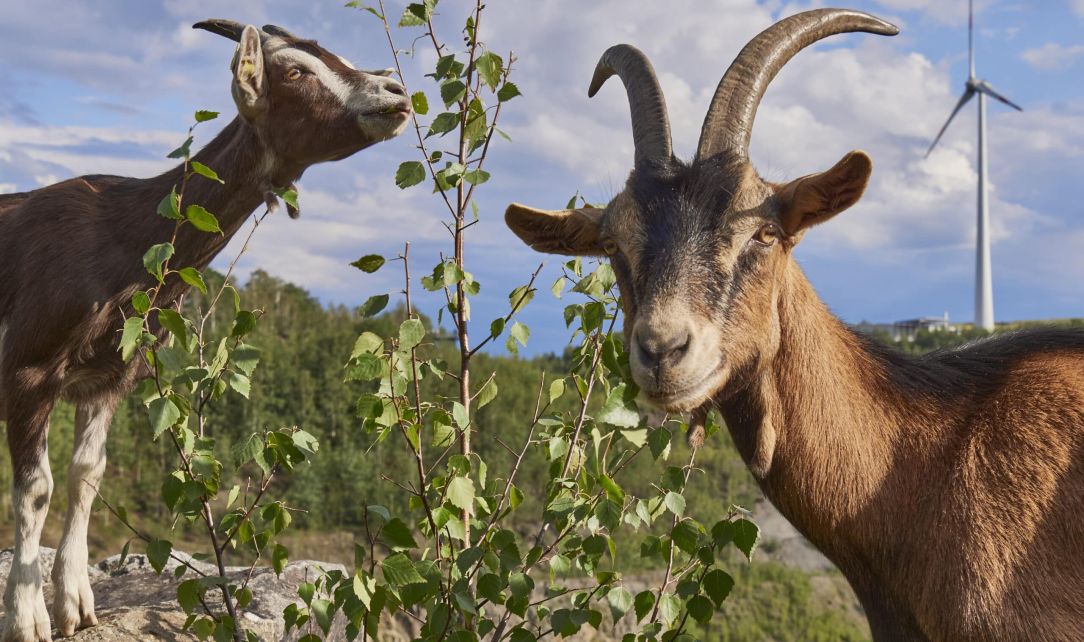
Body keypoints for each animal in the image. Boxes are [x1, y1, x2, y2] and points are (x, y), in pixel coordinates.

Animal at [0, 20, 409, 642]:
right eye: (295, 71)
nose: (396, 94)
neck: (117, 238)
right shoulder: (27, 371)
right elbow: (35, 490)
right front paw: (26, 618)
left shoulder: (110, 377)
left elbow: (86, 475)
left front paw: (76, 603)